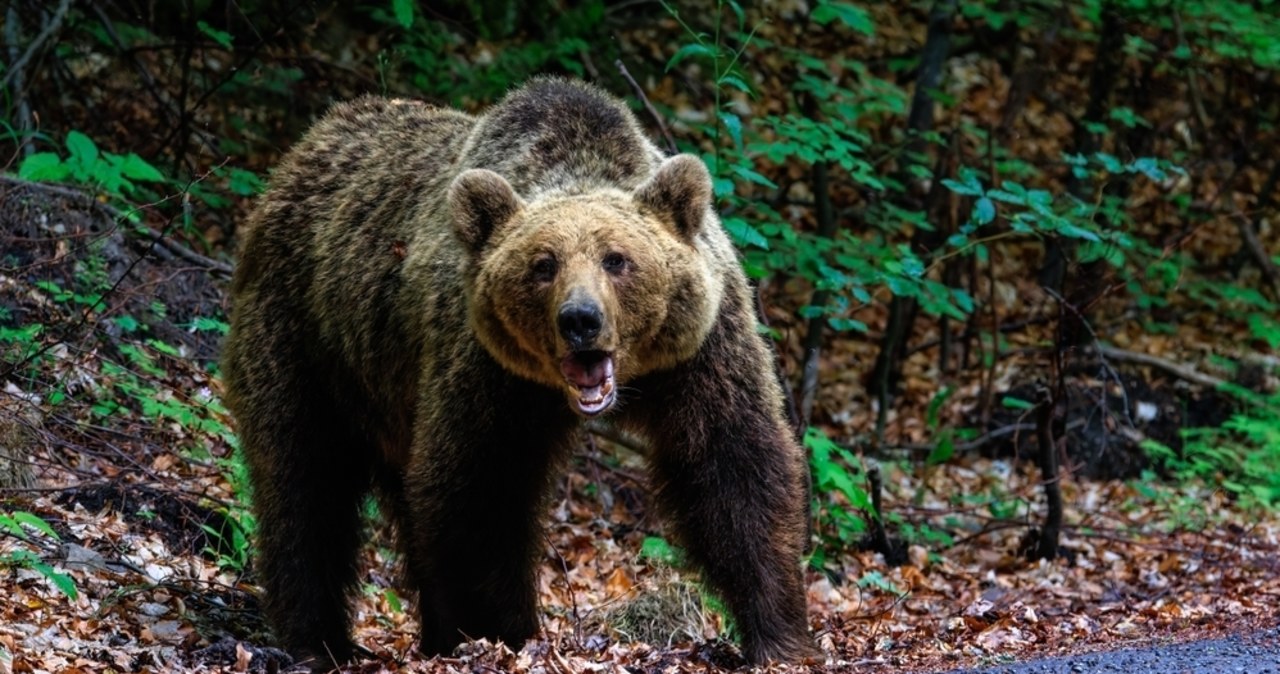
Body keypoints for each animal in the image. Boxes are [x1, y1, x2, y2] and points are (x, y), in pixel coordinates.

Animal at [222, 76, 808, 665]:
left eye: (616, 259)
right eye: (543, 264)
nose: (580, 319)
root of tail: (302, 151)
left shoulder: (699, 352)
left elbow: (733, 466)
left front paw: (778, 632)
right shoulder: (488, 370)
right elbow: (481, 491)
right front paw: (503, 631)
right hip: (305, 339)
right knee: (304, 481)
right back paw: (319, 639)